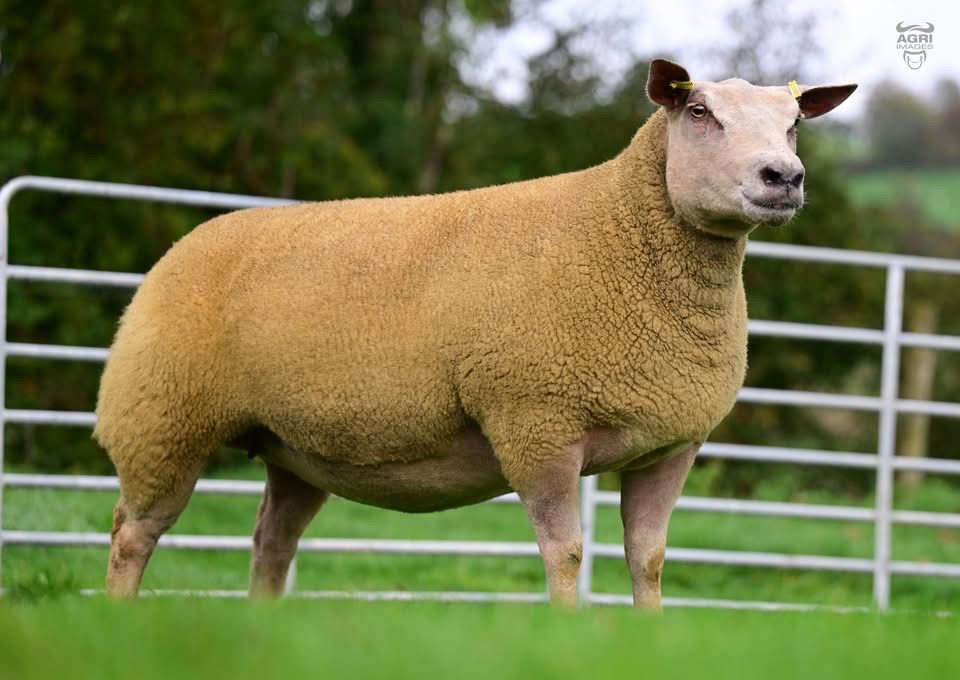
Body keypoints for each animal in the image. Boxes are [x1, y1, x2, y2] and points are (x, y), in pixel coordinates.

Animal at [94, 59, 856, 607]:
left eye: (794, 123)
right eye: (699, 112)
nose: (784, 176)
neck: (619, 239)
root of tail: (185, 244)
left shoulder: (670, 444)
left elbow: (649, 558)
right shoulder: (537, 422)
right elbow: (566, 554)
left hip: (293, 447)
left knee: (270, 544)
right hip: (160, 418)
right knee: (133, 534)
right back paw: (122, 618)